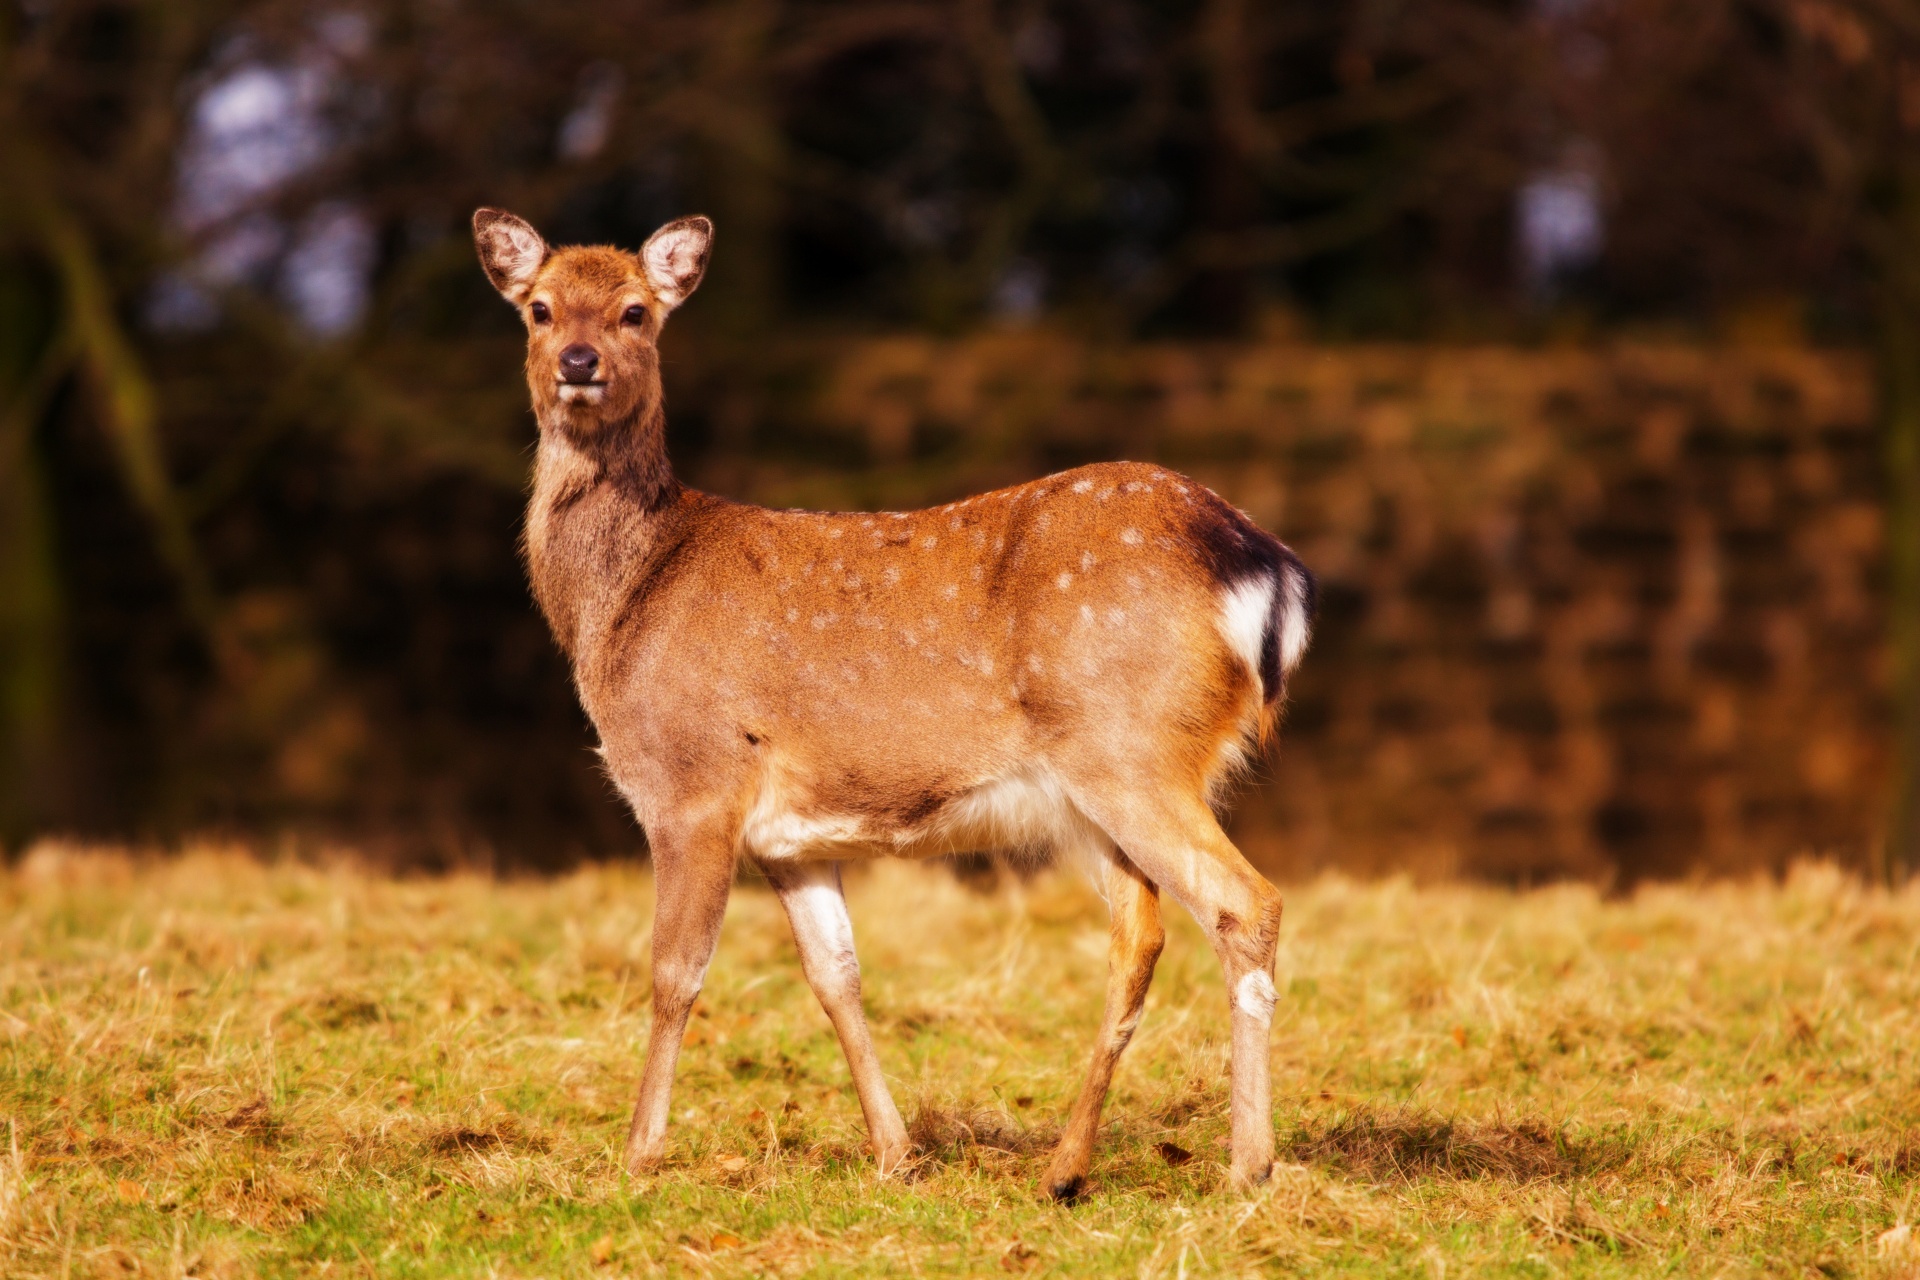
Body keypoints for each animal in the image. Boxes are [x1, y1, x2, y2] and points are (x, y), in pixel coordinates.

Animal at [472, 205, 1313, 1197]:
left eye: (636, 311)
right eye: (538, 308)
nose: (578, 360)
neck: (624, 601)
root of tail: (1262, 565)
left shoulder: (693, 783)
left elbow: (676, 970)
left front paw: (638, 1153)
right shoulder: (790, 840)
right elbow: (837, 975)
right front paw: (894, 1152)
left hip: (1132, 750)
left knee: (1246, 903)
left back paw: (1247, 1166)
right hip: (1098, 790)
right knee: (1139, 936)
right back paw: (1065, 1169)